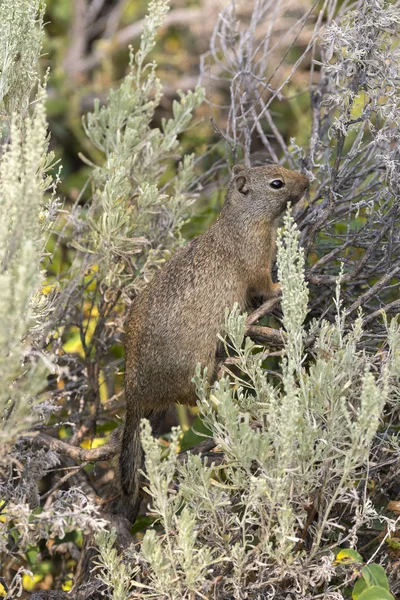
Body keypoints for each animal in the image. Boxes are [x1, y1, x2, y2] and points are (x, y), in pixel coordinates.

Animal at [121, 164, 310, 520]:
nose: (307, 182)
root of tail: (133, 394)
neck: (238, 223)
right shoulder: (257, 265)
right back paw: (227, 365)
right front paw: (281, 289)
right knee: (197, 394)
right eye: (276, 183)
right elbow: (265, 286)